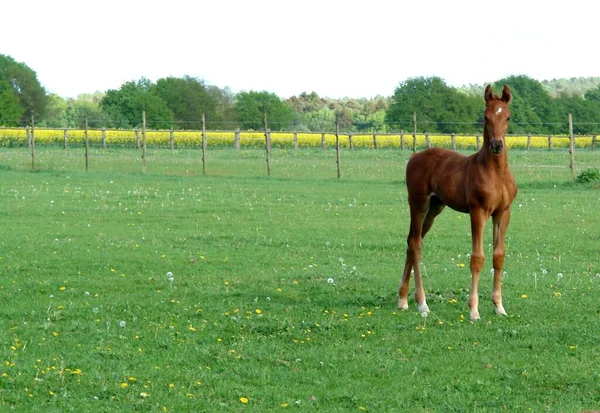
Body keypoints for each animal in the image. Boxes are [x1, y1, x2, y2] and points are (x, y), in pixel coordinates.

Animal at [398, 85, 516, 320]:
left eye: (507, 117)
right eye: (485, 117)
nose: (496, 145)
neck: (496, 172)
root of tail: (414, 157)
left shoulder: (502, 213)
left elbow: (498, 257)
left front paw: (499, 306)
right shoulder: (478, 211)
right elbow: (477, 258)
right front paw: (473, 310)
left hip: (435, 208)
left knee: (412, 241)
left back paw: (403, 299)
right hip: (418, 203)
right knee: (415, 245)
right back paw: (422, 303)